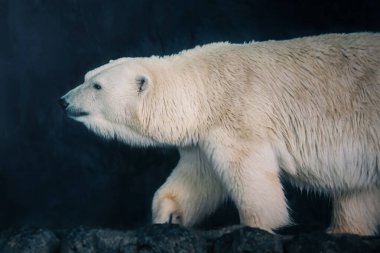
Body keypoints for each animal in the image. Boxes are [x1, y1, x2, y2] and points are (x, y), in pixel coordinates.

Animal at [60, 33, 380, 235]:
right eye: (87, 77)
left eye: (97, 86)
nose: (64, 100)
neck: (206, 85)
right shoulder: (203, 135)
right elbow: (197, 177)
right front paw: (167, 214)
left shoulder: (240, 118)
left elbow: (250, 175)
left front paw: (251, 225)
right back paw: (342, 230)